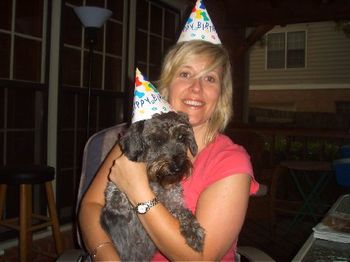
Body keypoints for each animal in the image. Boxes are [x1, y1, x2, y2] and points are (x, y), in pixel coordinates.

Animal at [100, 111, 205, 260]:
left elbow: (185, 212)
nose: (178, 167)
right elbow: (117, 197)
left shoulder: (174, 202)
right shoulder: (114, 200)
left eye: (181, 137)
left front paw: (195, 231)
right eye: (158, 140)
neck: (156, 181)